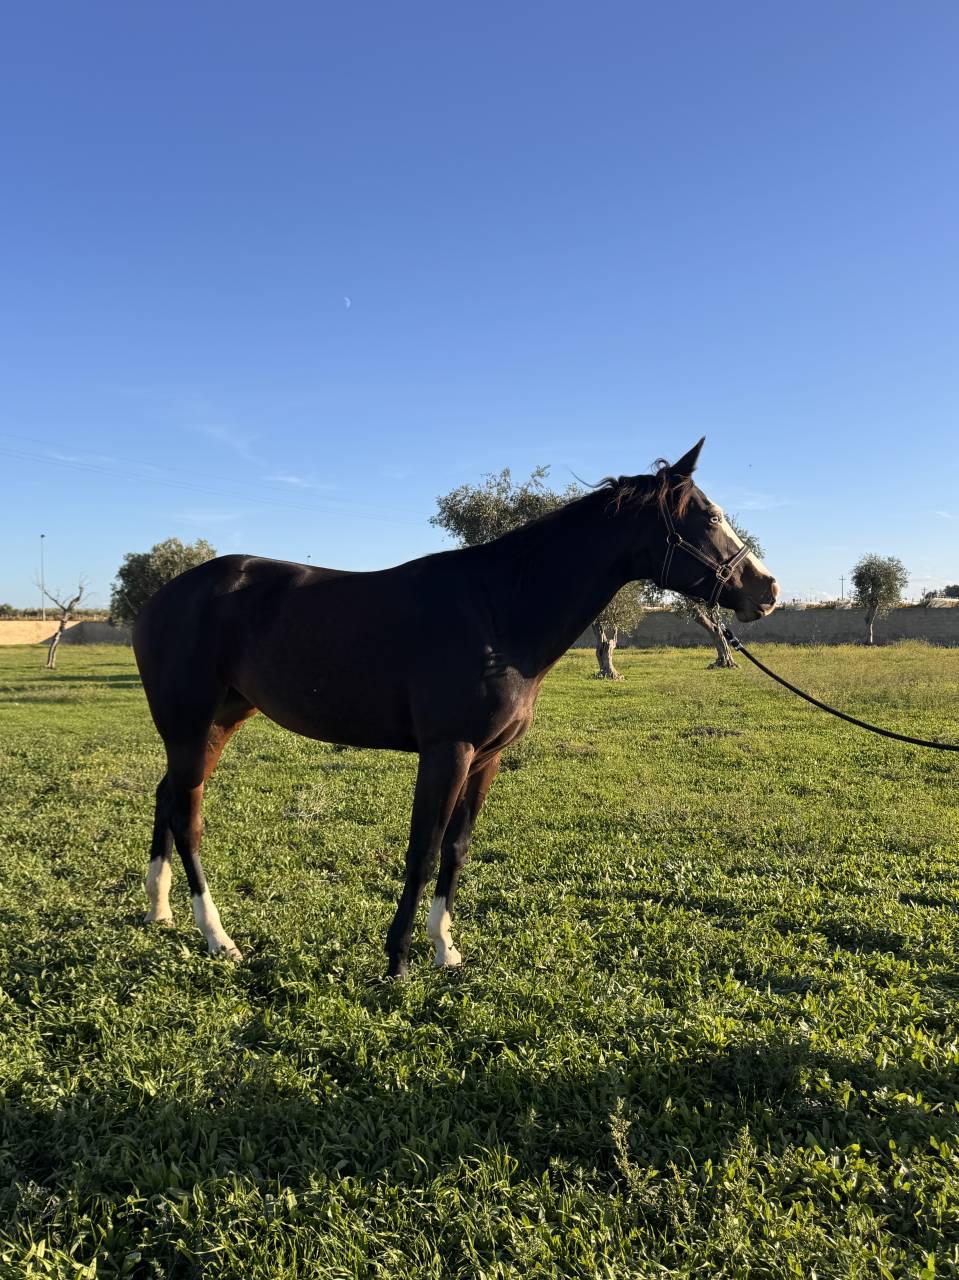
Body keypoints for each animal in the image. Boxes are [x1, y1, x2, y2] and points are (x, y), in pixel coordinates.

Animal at [133, 438, 779, 977]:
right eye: (710, 516)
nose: (767, 589)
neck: (499, 611)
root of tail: (162, 597)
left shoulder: (486, 757)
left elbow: (456, 848)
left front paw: (445, 949)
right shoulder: (448, 751)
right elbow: (423, 849)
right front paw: (397, 960)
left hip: (219, 722)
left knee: (168, 797)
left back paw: (160, 911)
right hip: (189, 725)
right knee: (187, 816)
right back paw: (217, 937)